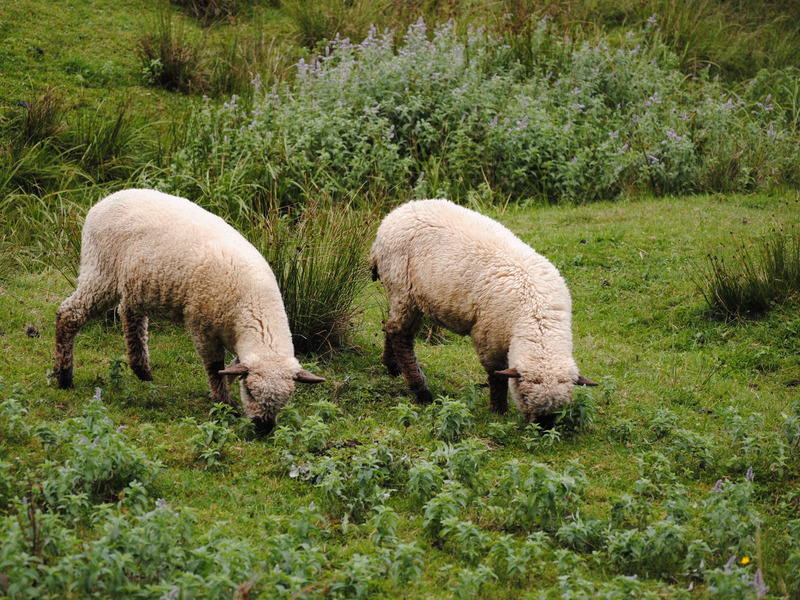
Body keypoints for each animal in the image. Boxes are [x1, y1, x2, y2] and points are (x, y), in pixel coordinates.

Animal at [54, 188, 324, 432]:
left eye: (286, 400)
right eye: (249, 391)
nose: (263, 429)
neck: (254, 305)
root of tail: (102, 202)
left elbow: (229, 366)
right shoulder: (202, 327)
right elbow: (215, 368)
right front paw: (225, 406)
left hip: (135, 283)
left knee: (130, 316)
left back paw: (142, 371)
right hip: (101, 271)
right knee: (69, 314)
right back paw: (64, 376)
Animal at [368, 199, 592, 424]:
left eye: (561, 407)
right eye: (524, 395)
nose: (543, 428)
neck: (537, 312)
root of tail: (396, 213)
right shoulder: (488, 336)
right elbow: (497, 374)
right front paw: (499, 411)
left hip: (404, 295)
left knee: (391, 326)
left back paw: (392, 366)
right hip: (402, 288)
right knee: (400, 334)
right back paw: (421, 390)